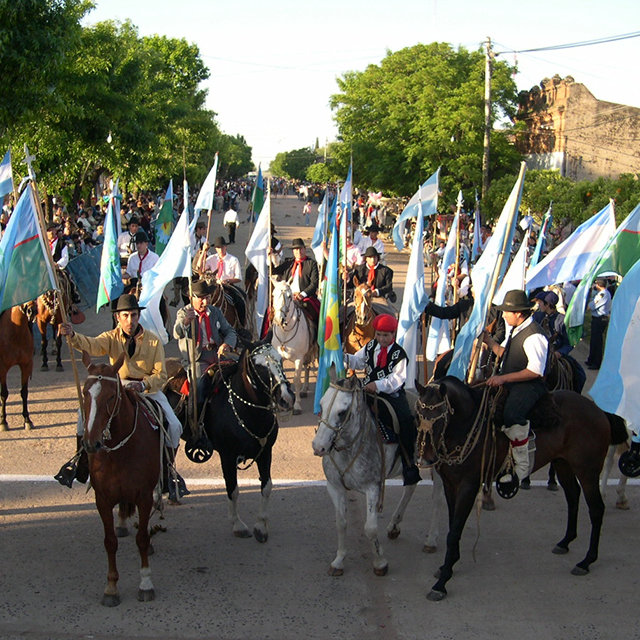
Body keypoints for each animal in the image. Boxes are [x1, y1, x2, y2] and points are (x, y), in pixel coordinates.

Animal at [80, 350, 160, 604]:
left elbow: (142, 539)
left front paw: (145, 583)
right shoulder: (102, 499)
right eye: (85, 392)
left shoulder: (143, 495)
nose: (91, 443)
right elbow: (110, 542)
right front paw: (111, 587)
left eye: (111, 395)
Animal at [165, 342, 296, 544]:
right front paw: (238, 525)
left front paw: (260, 527)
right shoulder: (227, 456)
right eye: (258, 366)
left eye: (280, 360)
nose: (287, 398)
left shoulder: (266, 453)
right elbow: (232, 489)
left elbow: (266, 487)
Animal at [416, 376, 632, 600]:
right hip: (562, 463)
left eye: (440, 418)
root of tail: (598, 411)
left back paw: (586, 561)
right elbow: (453, 527)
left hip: (587, 470)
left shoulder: (468, 486)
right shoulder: (451, 485)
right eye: (417, 415)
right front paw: (447, 566)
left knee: (596, 509)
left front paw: (442, 582)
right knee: (573, 496)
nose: (425, 459)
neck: (467, 426)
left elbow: (454, 532)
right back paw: (565, 542)